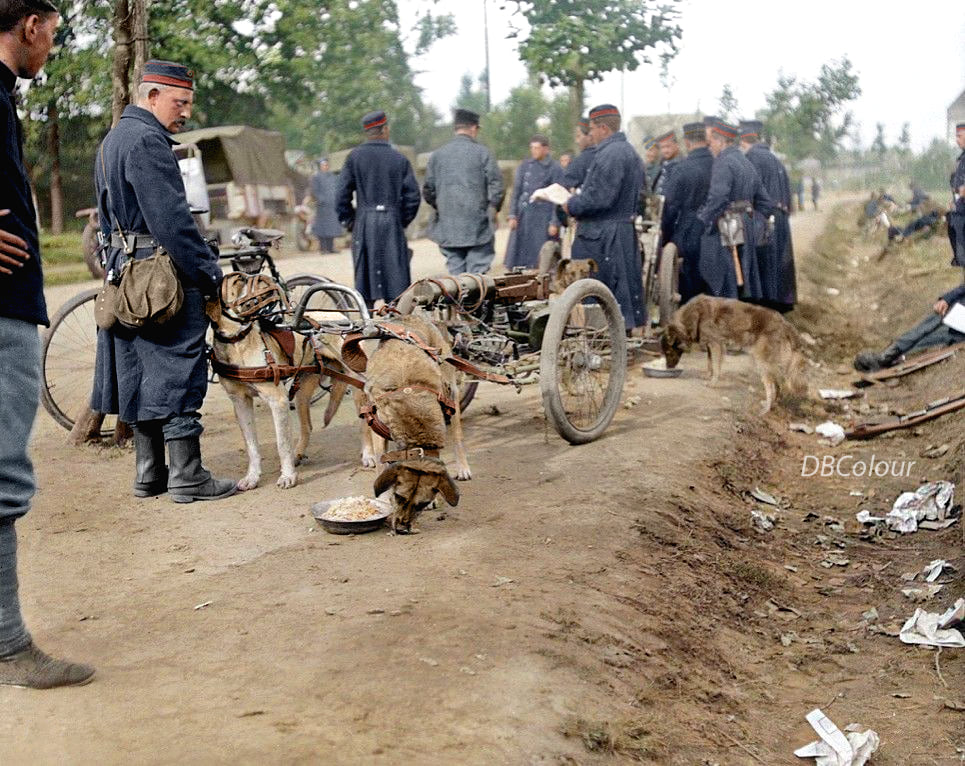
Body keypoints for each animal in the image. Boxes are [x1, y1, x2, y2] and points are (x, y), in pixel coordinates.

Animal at [360, 312, 468, 536]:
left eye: (421, 504)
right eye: (398, 497)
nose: (402, 529)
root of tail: (410, 316)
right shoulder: (377, 428)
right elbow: (381, 464)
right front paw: (383, 499)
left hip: (452, 391)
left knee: (458, 435)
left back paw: (463, 467)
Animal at [660, 296, 808, 416]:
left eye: (668, 353)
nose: (668, 367)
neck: (694, 315)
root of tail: (785, 323)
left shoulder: (716, 344)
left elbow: (716, 366)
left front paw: (712, 383)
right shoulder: (710, 345)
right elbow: (709, 363)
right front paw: (707, 375)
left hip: (761, 361)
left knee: (771, 386)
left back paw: (766, 408)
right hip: (767, 363)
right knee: (777, 384)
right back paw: (772, 405)